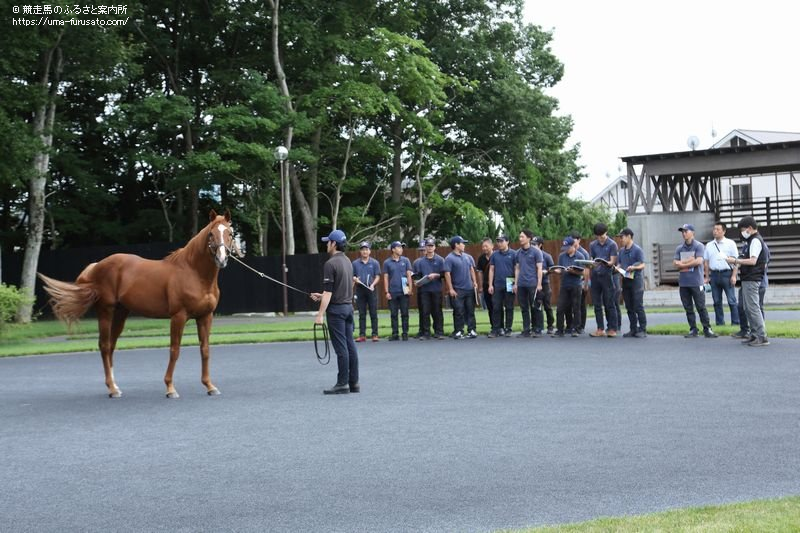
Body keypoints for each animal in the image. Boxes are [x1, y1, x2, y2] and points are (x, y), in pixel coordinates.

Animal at [39, 210, 234, 396]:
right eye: (211, 234)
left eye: (230, 233)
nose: (222, 259)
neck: (193, 272)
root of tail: (96, 266)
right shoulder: (178, 317)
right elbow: (174, 350)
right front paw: (170, 388)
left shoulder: (205, 316)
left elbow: (205, 350)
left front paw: (209, 386)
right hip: (105, 311)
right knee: (104, 346)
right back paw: (112, 389)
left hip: (121, 313)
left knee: (111, 345)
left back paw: (115, 386)